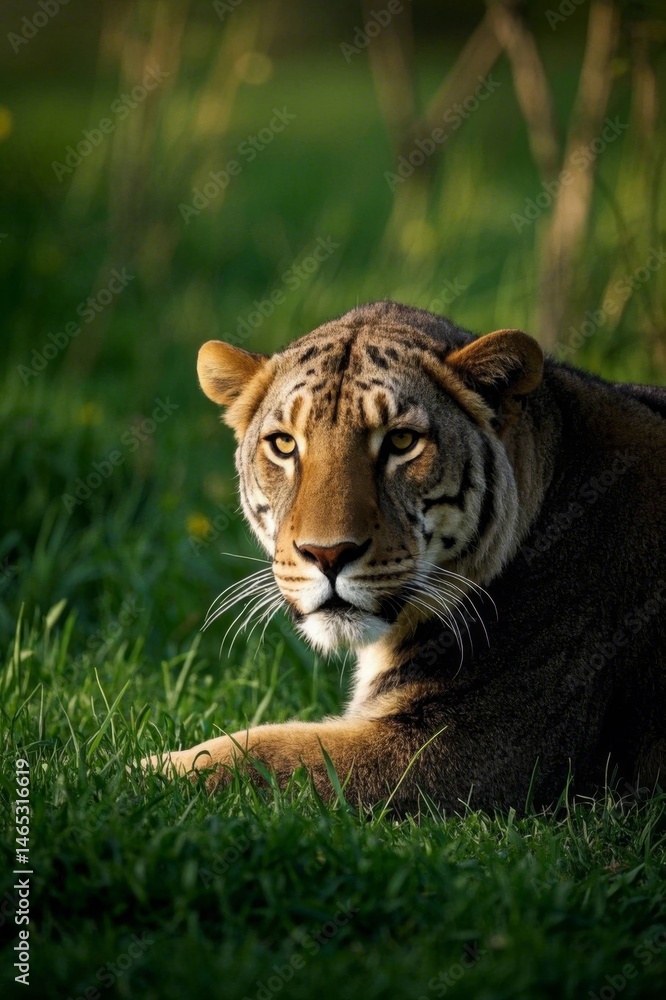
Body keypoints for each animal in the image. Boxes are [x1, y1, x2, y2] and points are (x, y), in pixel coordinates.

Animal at [143, 300, 666, 812]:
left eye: (401, 441)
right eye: (285, 444)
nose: (327, 554)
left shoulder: (470, 748)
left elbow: (262, 756)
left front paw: (132, 777)